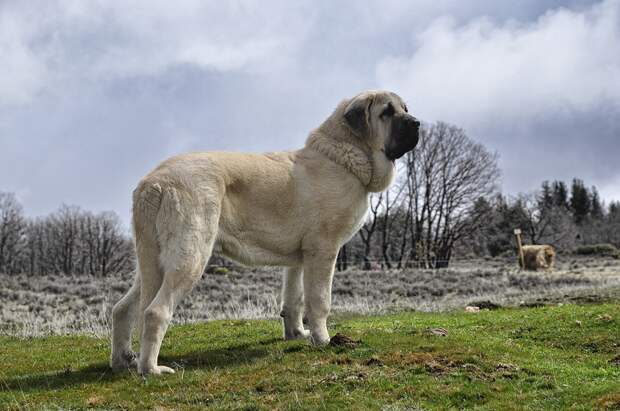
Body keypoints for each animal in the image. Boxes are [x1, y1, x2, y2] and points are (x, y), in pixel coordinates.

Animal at [111, 91, 422, 376]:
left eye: (406, 109)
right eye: (387, 112)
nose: (417, 123)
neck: (344, 155)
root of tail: (154, 183)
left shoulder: (300, 258)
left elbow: (294, 299)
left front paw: (297, 334)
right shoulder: (324, 249)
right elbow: (319, 300)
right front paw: (323, 339)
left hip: (152, 262)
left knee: (123, 308)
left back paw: (123, 360)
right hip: (190, 256)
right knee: (155, 311)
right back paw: (151, 369)